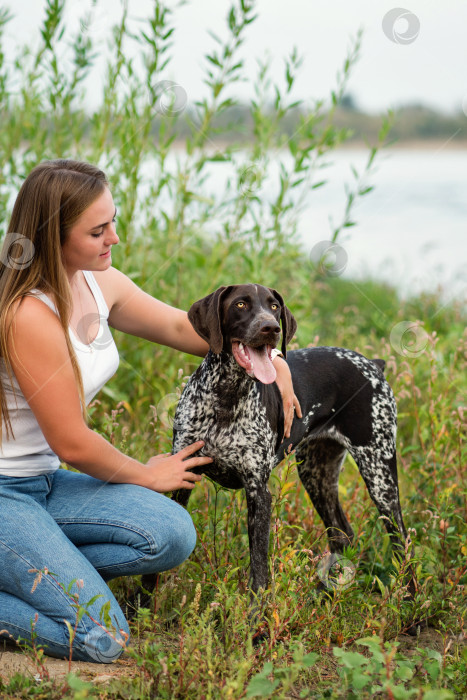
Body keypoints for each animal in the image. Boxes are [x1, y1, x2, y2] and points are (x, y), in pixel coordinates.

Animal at [151, 286, 414, 600]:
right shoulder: (183, 474)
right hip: (317, 473)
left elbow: (259, 569)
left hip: (379, 476)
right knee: (341, 534)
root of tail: (373, 365)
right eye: (241, 304)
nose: (271, 328)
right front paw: (140, 602)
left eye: (274, 306)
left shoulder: (258, 492)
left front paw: (256, 613)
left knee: (402, 541)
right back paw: (325, 594)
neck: (226, 395)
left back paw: (408, 602)